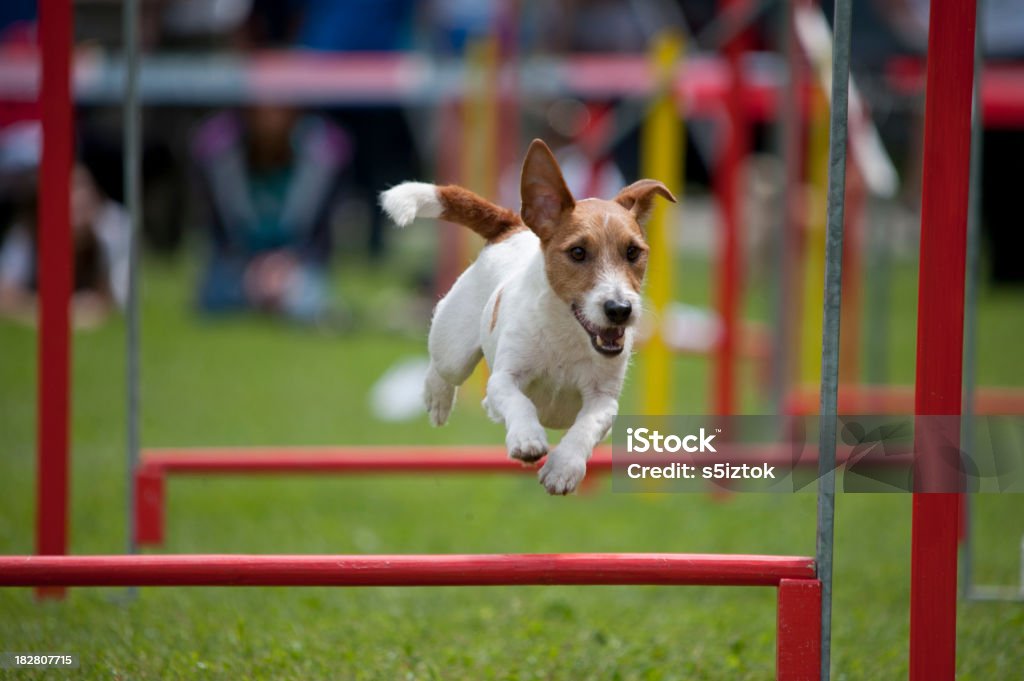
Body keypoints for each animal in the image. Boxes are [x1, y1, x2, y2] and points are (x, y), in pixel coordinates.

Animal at [380, 138, 675, 491]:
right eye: (578, 252)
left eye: (632, 252)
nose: (619, 310)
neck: (567, 334)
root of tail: (513, 226)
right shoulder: (505, 378)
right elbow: (518, 401)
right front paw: (527, 439)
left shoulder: (603, 398)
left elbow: (587, 426)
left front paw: (563, 467)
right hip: (453, 348)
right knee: (443, 369)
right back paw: (437, 398)